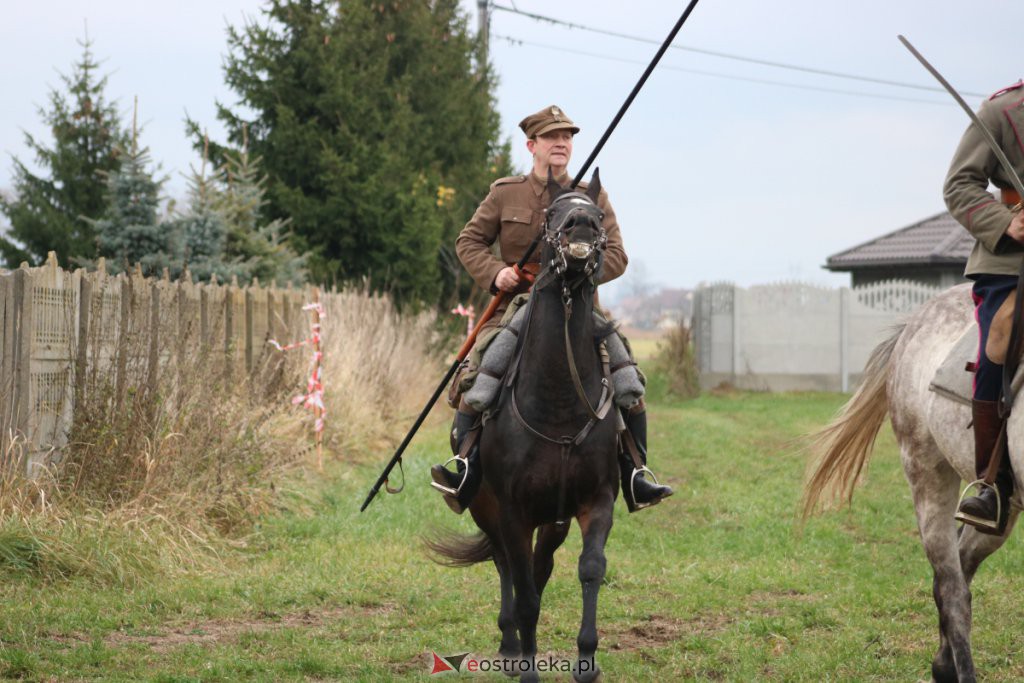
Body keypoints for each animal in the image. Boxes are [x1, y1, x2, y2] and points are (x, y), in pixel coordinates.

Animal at [428, 171, 618, 683]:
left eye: (599, 213)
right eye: (553, 212)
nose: (581, 227)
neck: (559, 404)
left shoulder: (594, 502)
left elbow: (589, 569)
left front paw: (586, 663)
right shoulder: (512, 512)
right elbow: (525, 590)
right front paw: (529, 665)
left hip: (551, 520)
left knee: (539, 566)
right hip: (486, 509)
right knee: (506, 568)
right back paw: (511, 644)